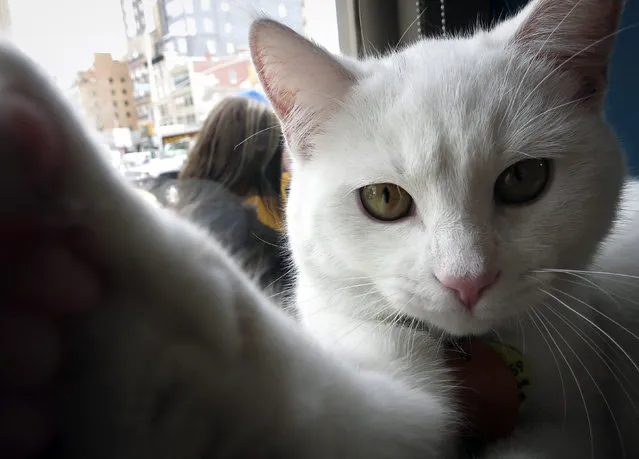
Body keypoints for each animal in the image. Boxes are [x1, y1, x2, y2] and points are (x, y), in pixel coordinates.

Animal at [1, 0, 639, 458]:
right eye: (384, 199)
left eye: (524, 179)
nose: (467, 282)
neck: (469, 349)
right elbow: (321, 408)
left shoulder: (577, 415)